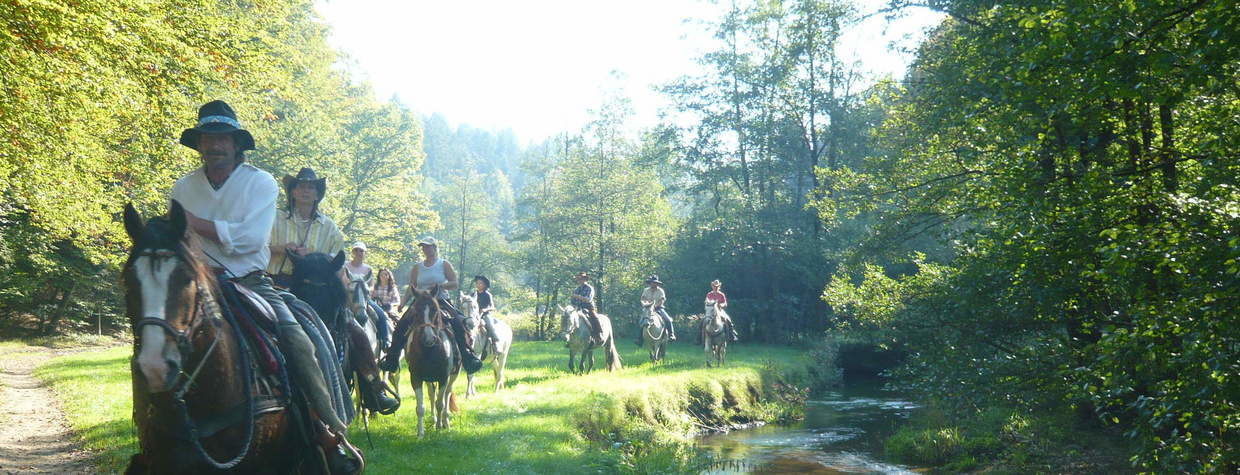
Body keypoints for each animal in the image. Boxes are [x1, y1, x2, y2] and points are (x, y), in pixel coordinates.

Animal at [404, 287, 463, 436]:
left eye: (435, 310)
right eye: (416, 311)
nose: (429, 339)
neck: (429, 352)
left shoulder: (443, 377)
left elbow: (440, 403)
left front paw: (439, 428)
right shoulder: (416, 378)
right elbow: (420, 407)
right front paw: (420, 433)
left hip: (453, 376)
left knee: (447, 395)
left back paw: (445, 422)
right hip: (429, 379)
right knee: (431, 394)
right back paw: (434, 418)